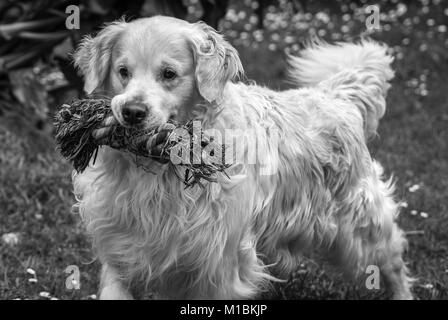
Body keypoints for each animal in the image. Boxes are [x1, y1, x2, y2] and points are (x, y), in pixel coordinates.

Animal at [72, 15, 412, 300]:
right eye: (123, 72)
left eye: (169, 74)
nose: (132, 112)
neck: (160, 172)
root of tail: (333, 95)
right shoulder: (121, 249)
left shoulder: (217, 266)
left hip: (364, 226)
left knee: (393, 265)